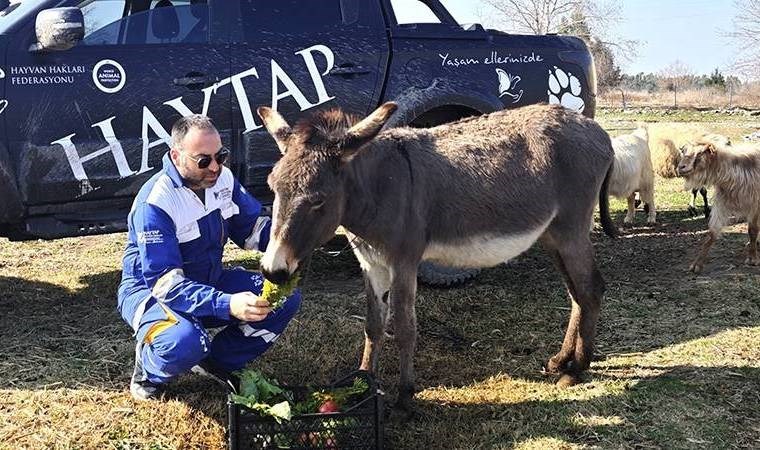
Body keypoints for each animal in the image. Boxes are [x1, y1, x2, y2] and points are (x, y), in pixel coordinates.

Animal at [256, 103, 616, 414]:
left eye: (318, 200)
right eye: (272, 187)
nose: (273, 271)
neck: (379, 187)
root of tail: (597, 130)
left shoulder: (403, 261)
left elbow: (404, 327)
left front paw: (405, 397)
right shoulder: (371, 264)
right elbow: (373, 326)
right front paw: (363, 381)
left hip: (571, 229)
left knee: (591, 289)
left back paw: (577, 369)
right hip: (552, 234)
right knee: (575, 293)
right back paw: (561, 360)